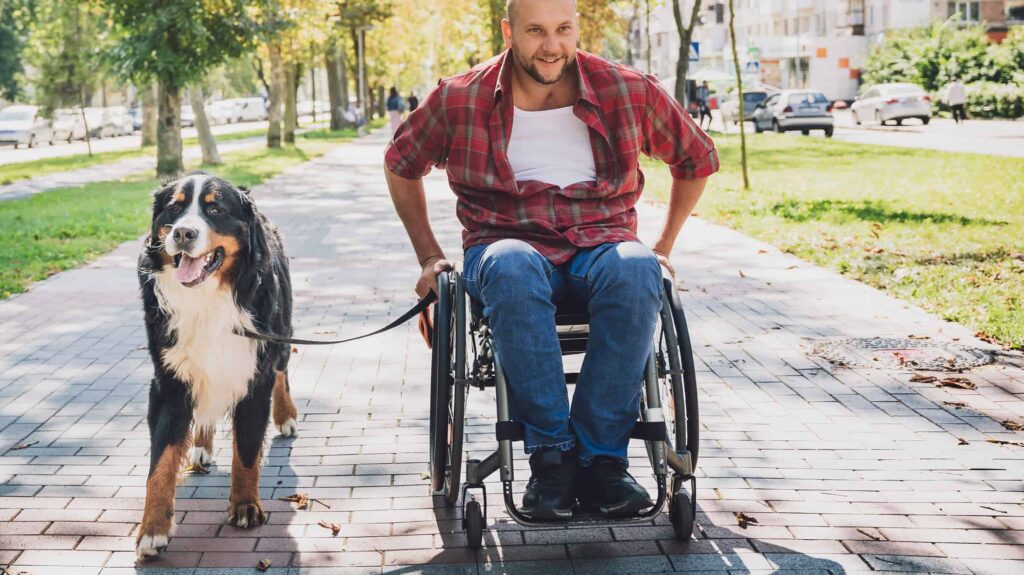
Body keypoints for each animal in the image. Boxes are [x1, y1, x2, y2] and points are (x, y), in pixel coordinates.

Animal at [136, 169, 299, 556]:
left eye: (215, 210)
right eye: (175, 208)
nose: (183, 233)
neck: (207, 299)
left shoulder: (255, 375)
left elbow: (247, 450)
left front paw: (245, 505)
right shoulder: (168, 382)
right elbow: (160, 462)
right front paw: (153, 528)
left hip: (281, 336)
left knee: (283, 372)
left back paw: (286, 416)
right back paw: (201, 445)